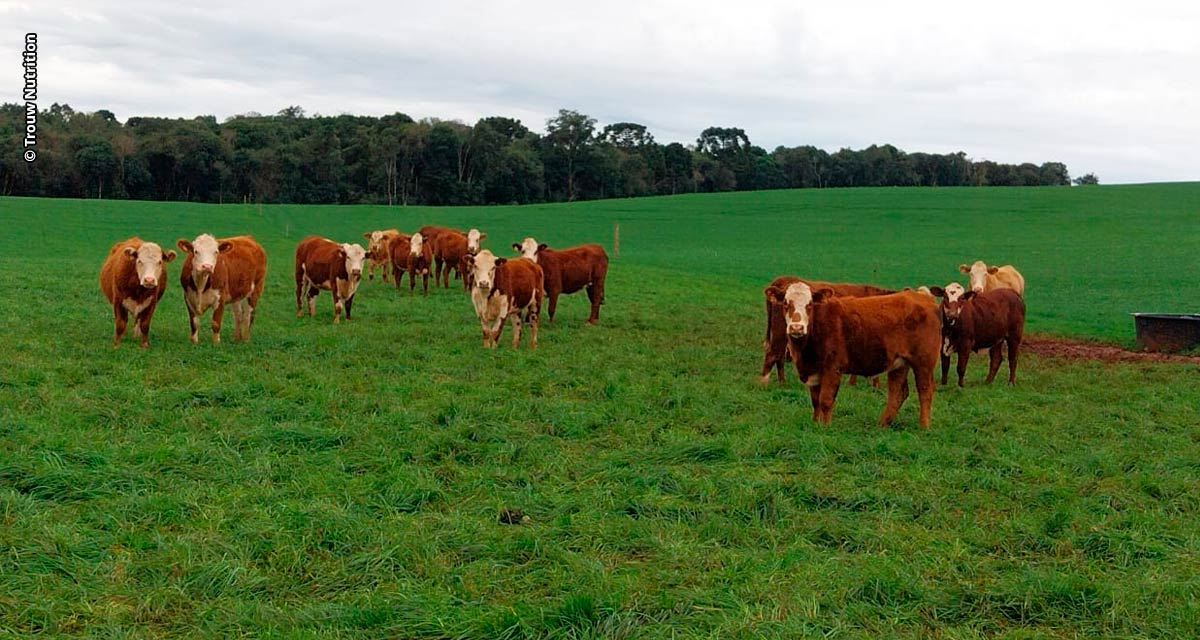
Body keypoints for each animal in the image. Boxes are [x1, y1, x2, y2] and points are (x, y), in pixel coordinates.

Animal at [758, 283, 945, 425]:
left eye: (809, 304)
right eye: (785, 303)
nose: (796, 328)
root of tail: (923, 297)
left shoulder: (833, 368)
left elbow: (826, 400)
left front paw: (825, 427)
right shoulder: (814, 370)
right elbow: (815, 400)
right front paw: (815, 423)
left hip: (923, 363)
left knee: (925, 391)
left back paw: (923, 426)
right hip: (899, 364)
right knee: (897, 393)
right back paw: (882, 424)